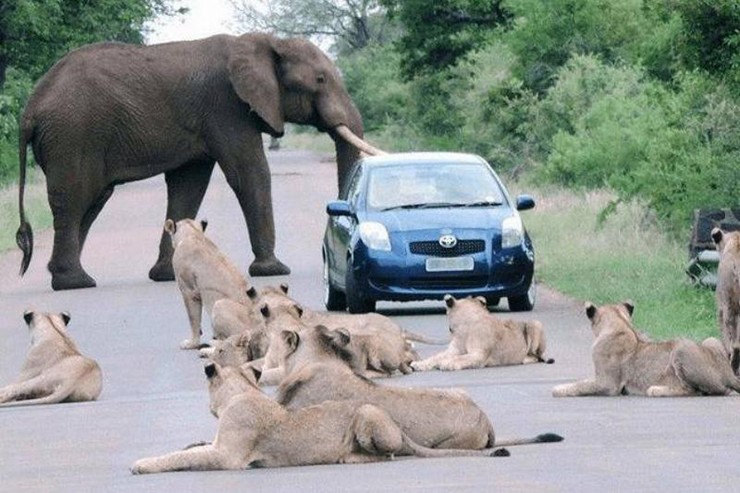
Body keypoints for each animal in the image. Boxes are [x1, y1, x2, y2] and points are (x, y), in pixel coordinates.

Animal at [14, 32, 384, 290]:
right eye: (320, 80)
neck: (265, 42)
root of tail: (31, 108)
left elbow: (189, 186)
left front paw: (166, 275)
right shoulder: (227, 107)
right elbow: (249, 173)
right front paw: (273, 270)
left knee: (90, 203)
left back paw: (68, 278)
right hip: (73, 135)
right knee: (75, 199)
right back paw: (75, 283)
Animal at [130, 362, 506, 472]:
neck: (241, 392)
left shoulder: (228, 457)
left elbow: (182, 457)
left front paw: (141, 465)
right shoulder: (219, 444)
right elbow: (190, 447)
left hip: (366, 413)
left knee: (387, 454)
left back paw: (348, 458)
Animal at [164, 219, 251, 350]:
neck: (194, 234)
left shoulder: (189, 291)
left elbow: (193, 319)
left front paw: (192, 343)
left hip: (220, 305)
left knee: (242, 337)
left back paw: (213, 343)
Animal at [414, 294, 552, 370]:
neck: (465, 329)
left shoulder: (478, 354)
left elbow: (460, 358)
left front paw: (447, 363)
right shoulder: (453, 350)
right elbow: (436, 356)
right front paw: (420, 364)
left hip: (535, 324)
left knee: (536, 356)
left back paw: (525, 359)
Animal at [552, 300, 740, 396]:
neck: (622, 325)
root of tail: (729, 374)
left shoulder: (608, 383)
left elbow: (580, 386)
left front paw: (558, 389)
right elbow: (583, 382)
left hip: (680, 349)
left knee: (703, 390)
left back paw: (655, 389)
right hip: (712, 340)